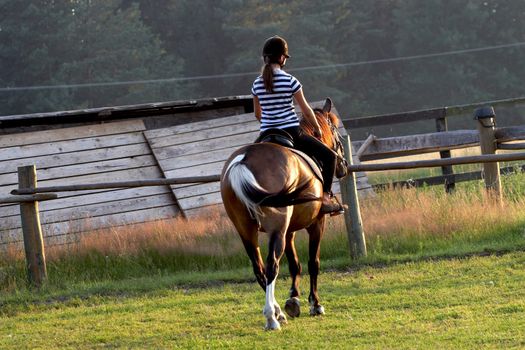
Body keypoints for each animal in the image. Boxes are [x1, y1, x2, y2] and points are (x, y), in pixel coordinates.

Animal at [218, 97, 346, 330]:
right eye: (334, 129)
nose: (343, 166)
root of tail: (242, 161)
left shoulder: (289, 230)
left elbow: (295, 264)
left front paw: (293, 300)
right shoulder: (316, 223)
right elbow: (313, 262)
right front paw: (315, 304)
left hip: (245, 230)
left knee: (259, 268)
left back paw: (278, 313)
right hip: (276, 227)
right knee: (272, 265)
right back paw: (271, 317)